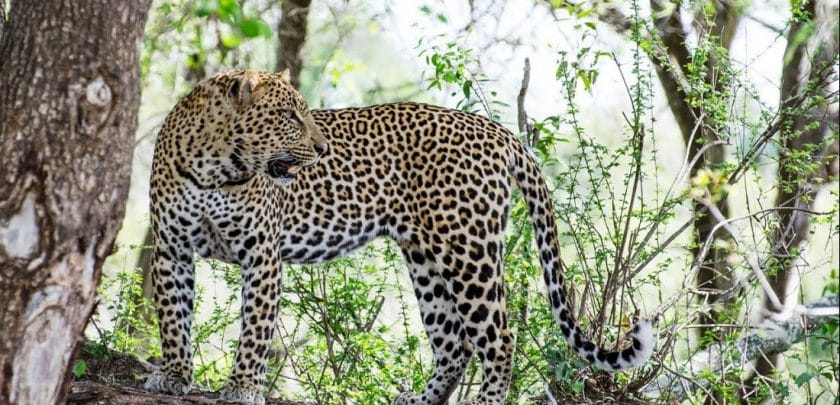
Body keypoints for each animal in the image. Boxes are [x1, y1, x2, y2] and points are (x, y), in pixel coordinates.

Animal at [144, 68, 656, 402]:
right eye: (290, 115)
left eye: (305, 113)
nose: (322, 148)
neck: (214, 169)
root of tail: (498, 131)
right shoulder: (171, 249)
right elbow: (173, 319)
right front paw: (173, 376)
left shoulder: (261, 255)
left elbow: (254, 327)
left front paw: (243, 387)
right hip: (425, 258)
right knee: (454, 343)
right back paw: (420, 401)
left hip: (468, 251)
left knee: (499, 338)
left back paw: (485, 401)